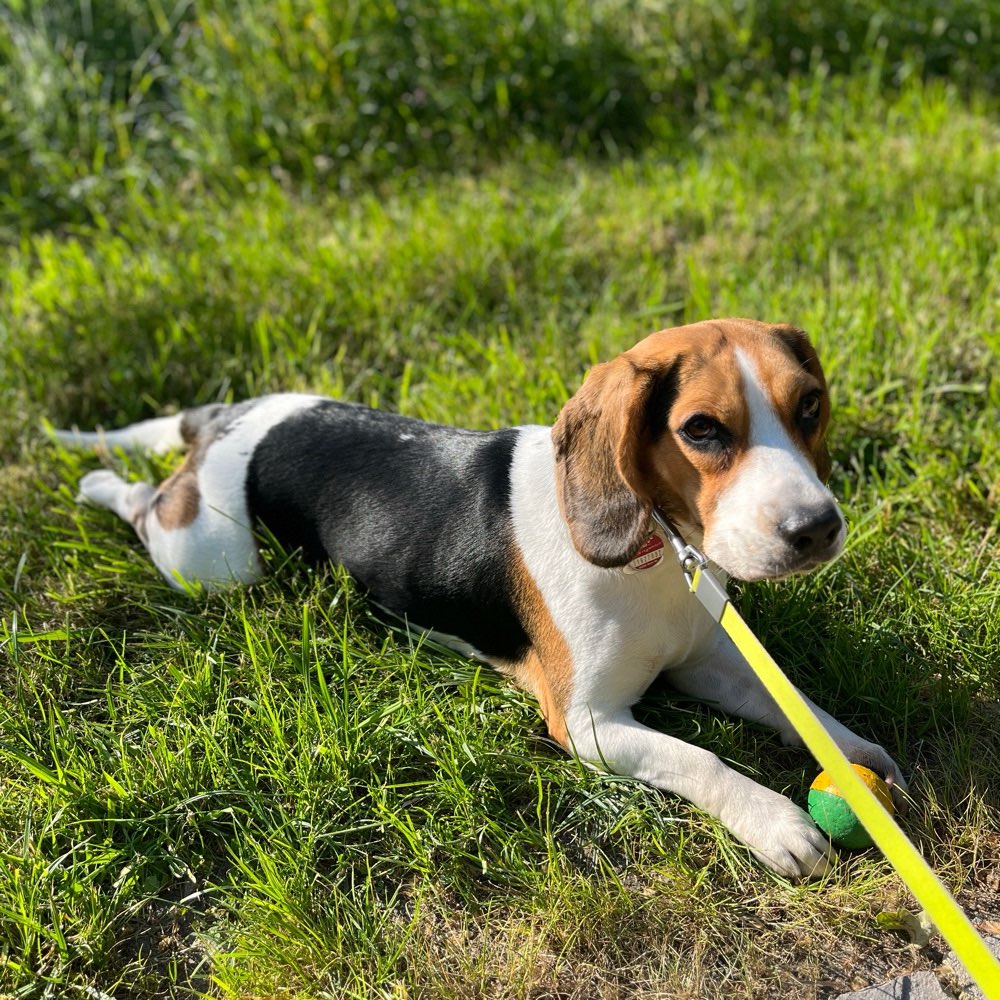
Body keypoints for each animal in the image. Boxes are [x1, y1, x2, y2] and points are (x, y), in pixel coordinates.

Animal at [60, 318, 908, 876]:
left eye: (810, 406)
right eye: (702, 429)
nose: (817, 528)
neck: (657, 554)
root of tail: (227, 416)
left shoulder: (709, 665)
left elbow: (795, 705)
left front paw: (856, 757)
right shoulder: (587, 722)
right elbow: (699, 758)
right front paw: (775, 822)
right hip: (209, 559)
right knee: (143, 503)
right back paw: (98, 481)